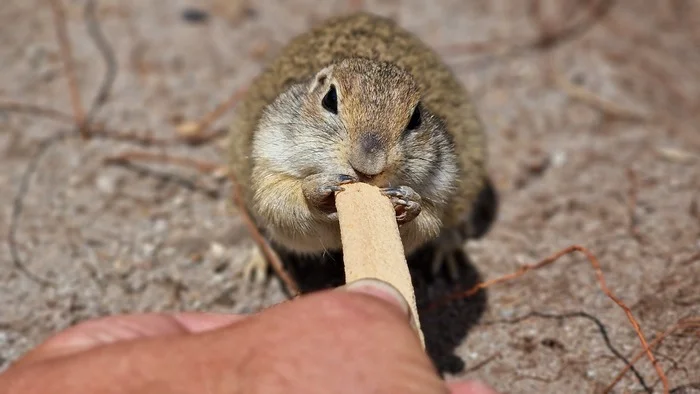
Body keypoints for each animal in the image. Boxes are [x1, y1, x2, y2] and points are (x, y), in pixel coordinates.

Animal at [230, 10, 492, 282]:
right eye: (330, 99)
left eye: (417, 116)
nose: (368, 167)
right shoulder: (268, 168)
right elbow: (283, 207)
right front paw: (317, 188)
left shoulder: (437, 196)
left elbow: (425, 222)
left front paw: (409, 202)